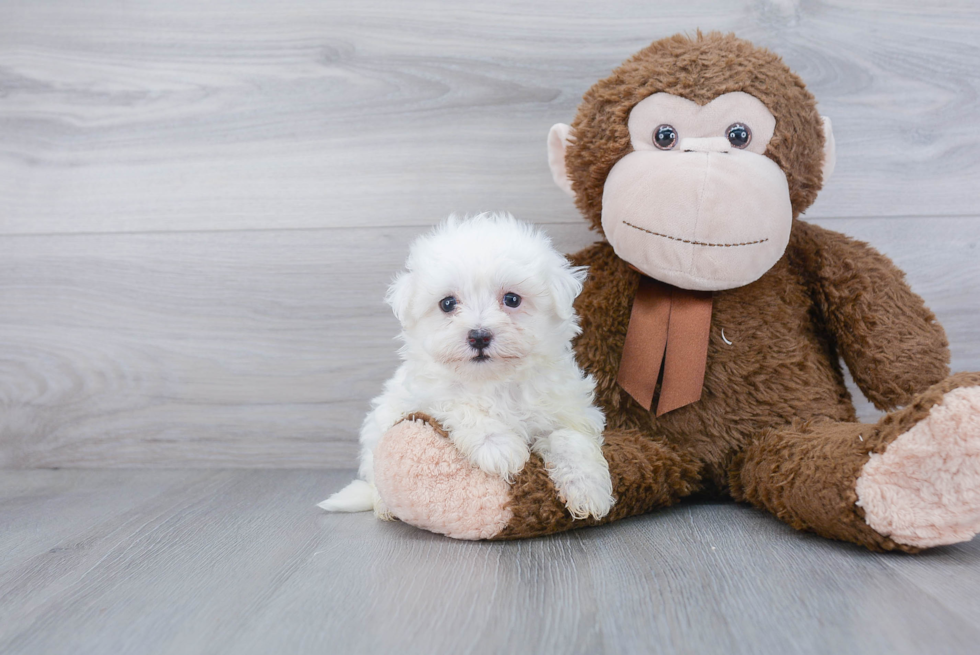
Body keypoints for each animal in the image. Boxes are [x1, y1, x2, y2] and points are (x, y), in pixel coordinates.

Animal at [320, 215, 612, 524]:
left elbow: (570, 438)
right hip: (378, 429)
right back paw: (384, 505)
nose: (479, 336)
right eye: (448, 303)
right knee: (375, 475)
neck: (494, 381)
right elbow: (462, 406)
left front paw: (589, 488)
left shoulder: (568, 408)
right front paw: (499, 447)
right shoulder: (427, 395)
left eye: (512, 299)